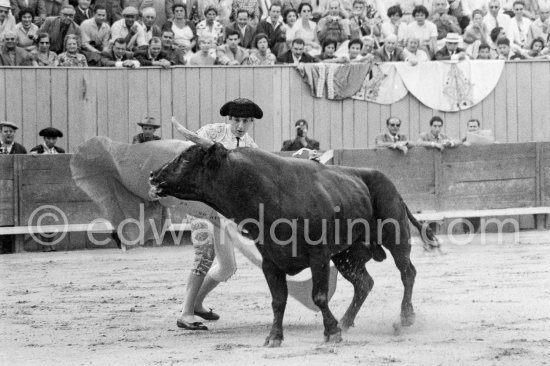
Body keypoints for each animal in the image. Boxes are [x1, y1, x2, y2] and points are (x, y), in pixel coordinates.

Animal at [150, 143, 440, 346]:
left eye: (185, 158)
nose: (153, 175)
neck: (265, 193)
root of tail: (389, 183)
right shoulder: (270, 262)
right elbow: (278, 300)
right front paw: (274, 337)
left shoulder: (318, 255)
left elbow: (318, 295)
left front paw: (331, 332)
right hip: (346, 255)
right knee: (364, 283)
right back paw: (346, 321)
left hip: (396, 235)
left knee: (407, 272)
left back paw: (405, 318)